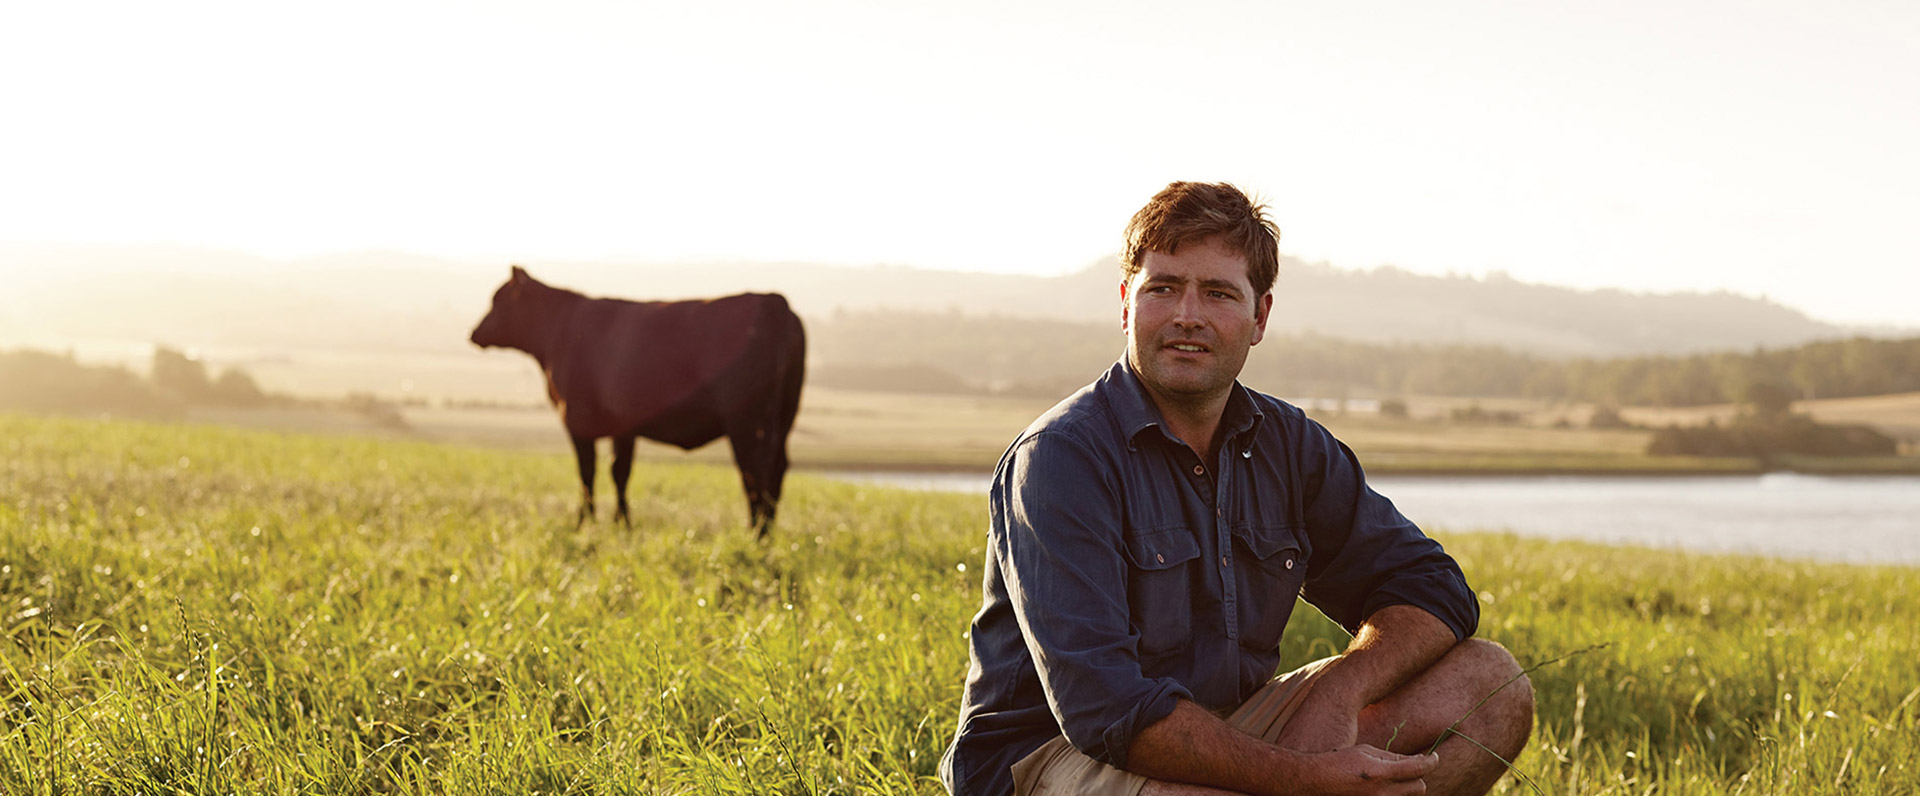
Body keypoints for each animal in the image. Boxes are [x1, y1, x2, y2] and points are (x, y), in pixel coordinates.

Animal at [480, 264, 810, 540]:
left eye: (497, 301)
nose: (475, 332)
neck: (560, 332)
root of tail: (772, 300)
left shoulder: (576, 419)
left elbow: (587, 474)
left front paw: (584, 523)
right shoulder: (623, 427)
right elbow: (619, 473)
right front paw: (621, 524)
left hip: (744, 421)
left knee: (753, 471)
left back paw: (755, 533)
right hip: (784, 416)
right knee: (776, 468)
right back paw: (767, 534)